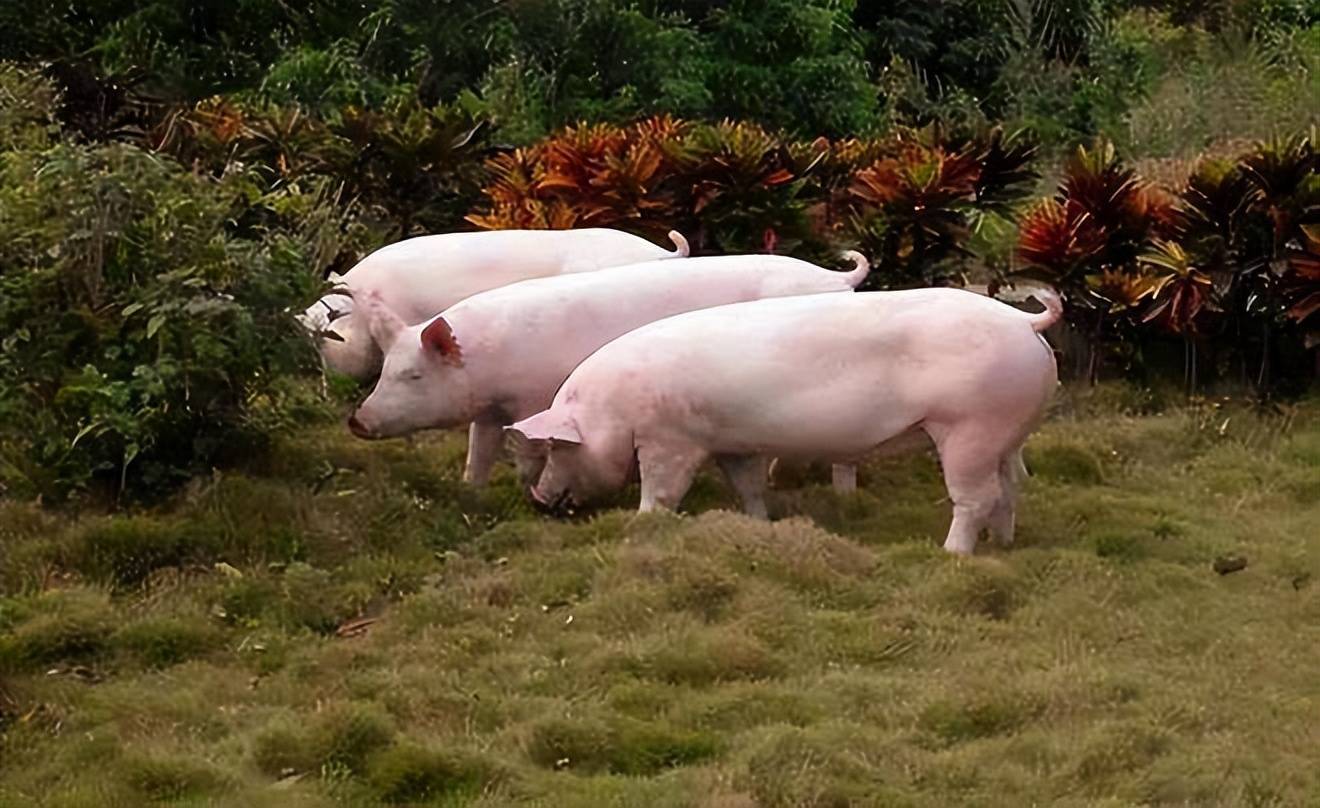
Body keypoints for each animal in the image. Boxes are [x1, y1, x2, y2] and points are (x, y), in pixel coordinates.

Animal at [348, 249, 876, 485]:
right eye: (385, 371)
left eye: (414, 376)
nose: (356, 421)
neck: (489, 361)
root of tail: (836, 279)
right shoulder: (492, 408)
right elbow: (479, 452)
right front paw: (471, 492)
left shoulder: (536, 399)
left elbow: (527, 450)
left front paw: (526, 485)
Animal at [504, 285, 1061, 554]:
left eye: (558, 446)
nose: (538, 498)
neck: (611, 408)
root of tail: (1024, 320)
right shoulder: (733, 442)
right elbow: (748, 486)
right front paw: (758, 524)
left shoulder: (671, 438)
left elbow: (661, 490)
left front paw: (642, 525)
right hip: (1004, 431)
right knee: (1010, 487)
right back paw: (1002, 543)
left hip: (970, 426)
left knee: (976, 496)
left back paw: (952, 554)